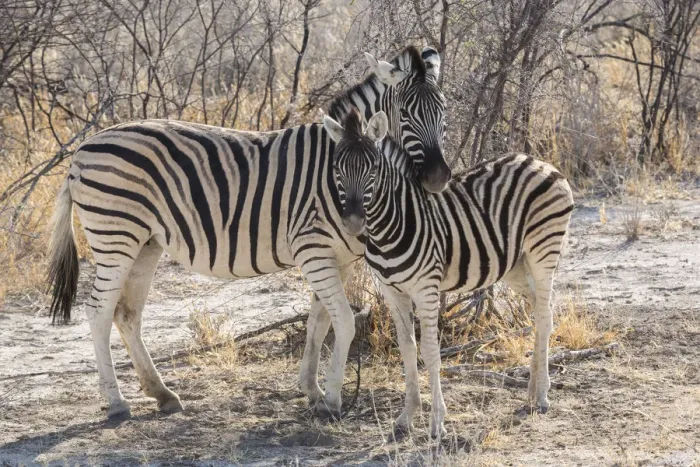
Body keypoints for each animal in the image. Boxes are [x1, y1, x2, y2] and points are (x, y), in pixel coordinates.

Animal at [46, 46, 448, 421]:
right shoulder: (312, 250)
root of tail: (81, 151)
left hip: (146, 243)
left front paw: (312, 389)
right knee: (98, 311)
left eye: (443, 112)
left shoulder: (339, 256)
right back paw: (117, 402)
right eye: (406, 114)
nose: (437, 178)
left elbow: (318, 322)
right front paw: (332, 398)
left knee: (126, 314)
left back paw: (162, 394)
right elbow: (344, 322)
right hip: (116, 236)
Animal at [323, 109, 574, 438]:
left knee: (544, 316)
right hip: (515, 265)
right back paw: (532, 390)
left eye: (373, 169)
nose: (353, 222)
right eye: (337, 168)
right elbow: (407, 348)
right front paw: (406, 418)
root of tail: (538, 161)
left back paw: (542, 396)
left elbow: (430, 351)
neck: (389, 226)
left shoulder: (426, 289)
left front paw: (437, 423)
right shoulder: (393, 292)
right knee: (539, 309)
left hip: (543, 249)